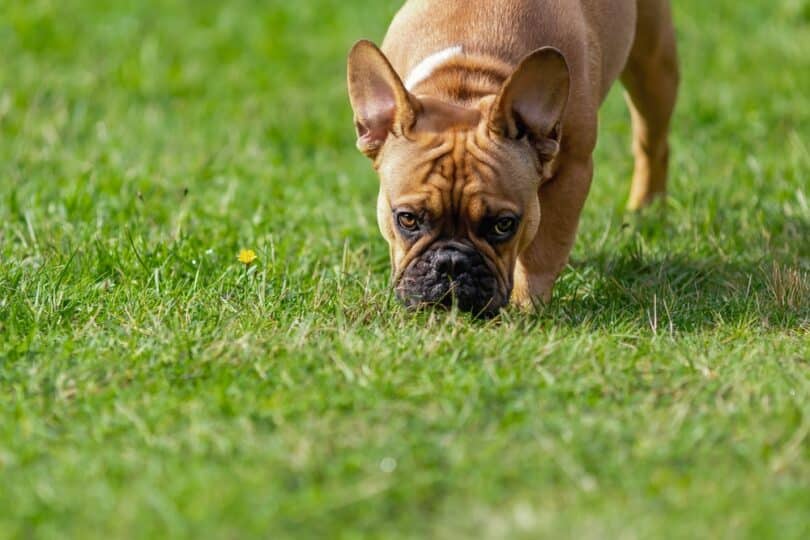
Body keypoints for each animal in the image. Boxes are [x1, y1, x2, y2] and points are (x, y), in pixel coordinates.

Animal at [346, 0, 676, 316]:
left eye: (503, 225)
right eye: (407, 219)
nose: (451, 263)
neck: (466, 80)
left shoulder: (573, 171)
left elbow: (544, 250)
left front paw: (527, 307)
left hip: (653, 64)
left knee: (652, 142)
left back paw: (646, 207)